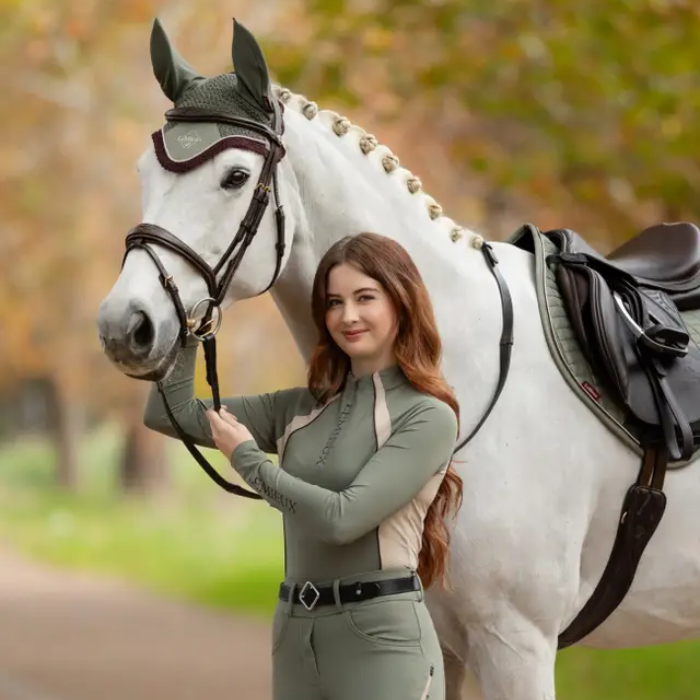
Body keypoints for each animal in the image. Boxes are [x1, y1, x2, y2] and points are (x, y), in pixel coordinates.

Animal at [96, 18, 700, 700]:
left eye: (234, 177)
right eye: (145, 171)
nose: (125, 326)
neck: (467, 364)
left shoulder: (517, 643)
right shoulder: (448, 643)